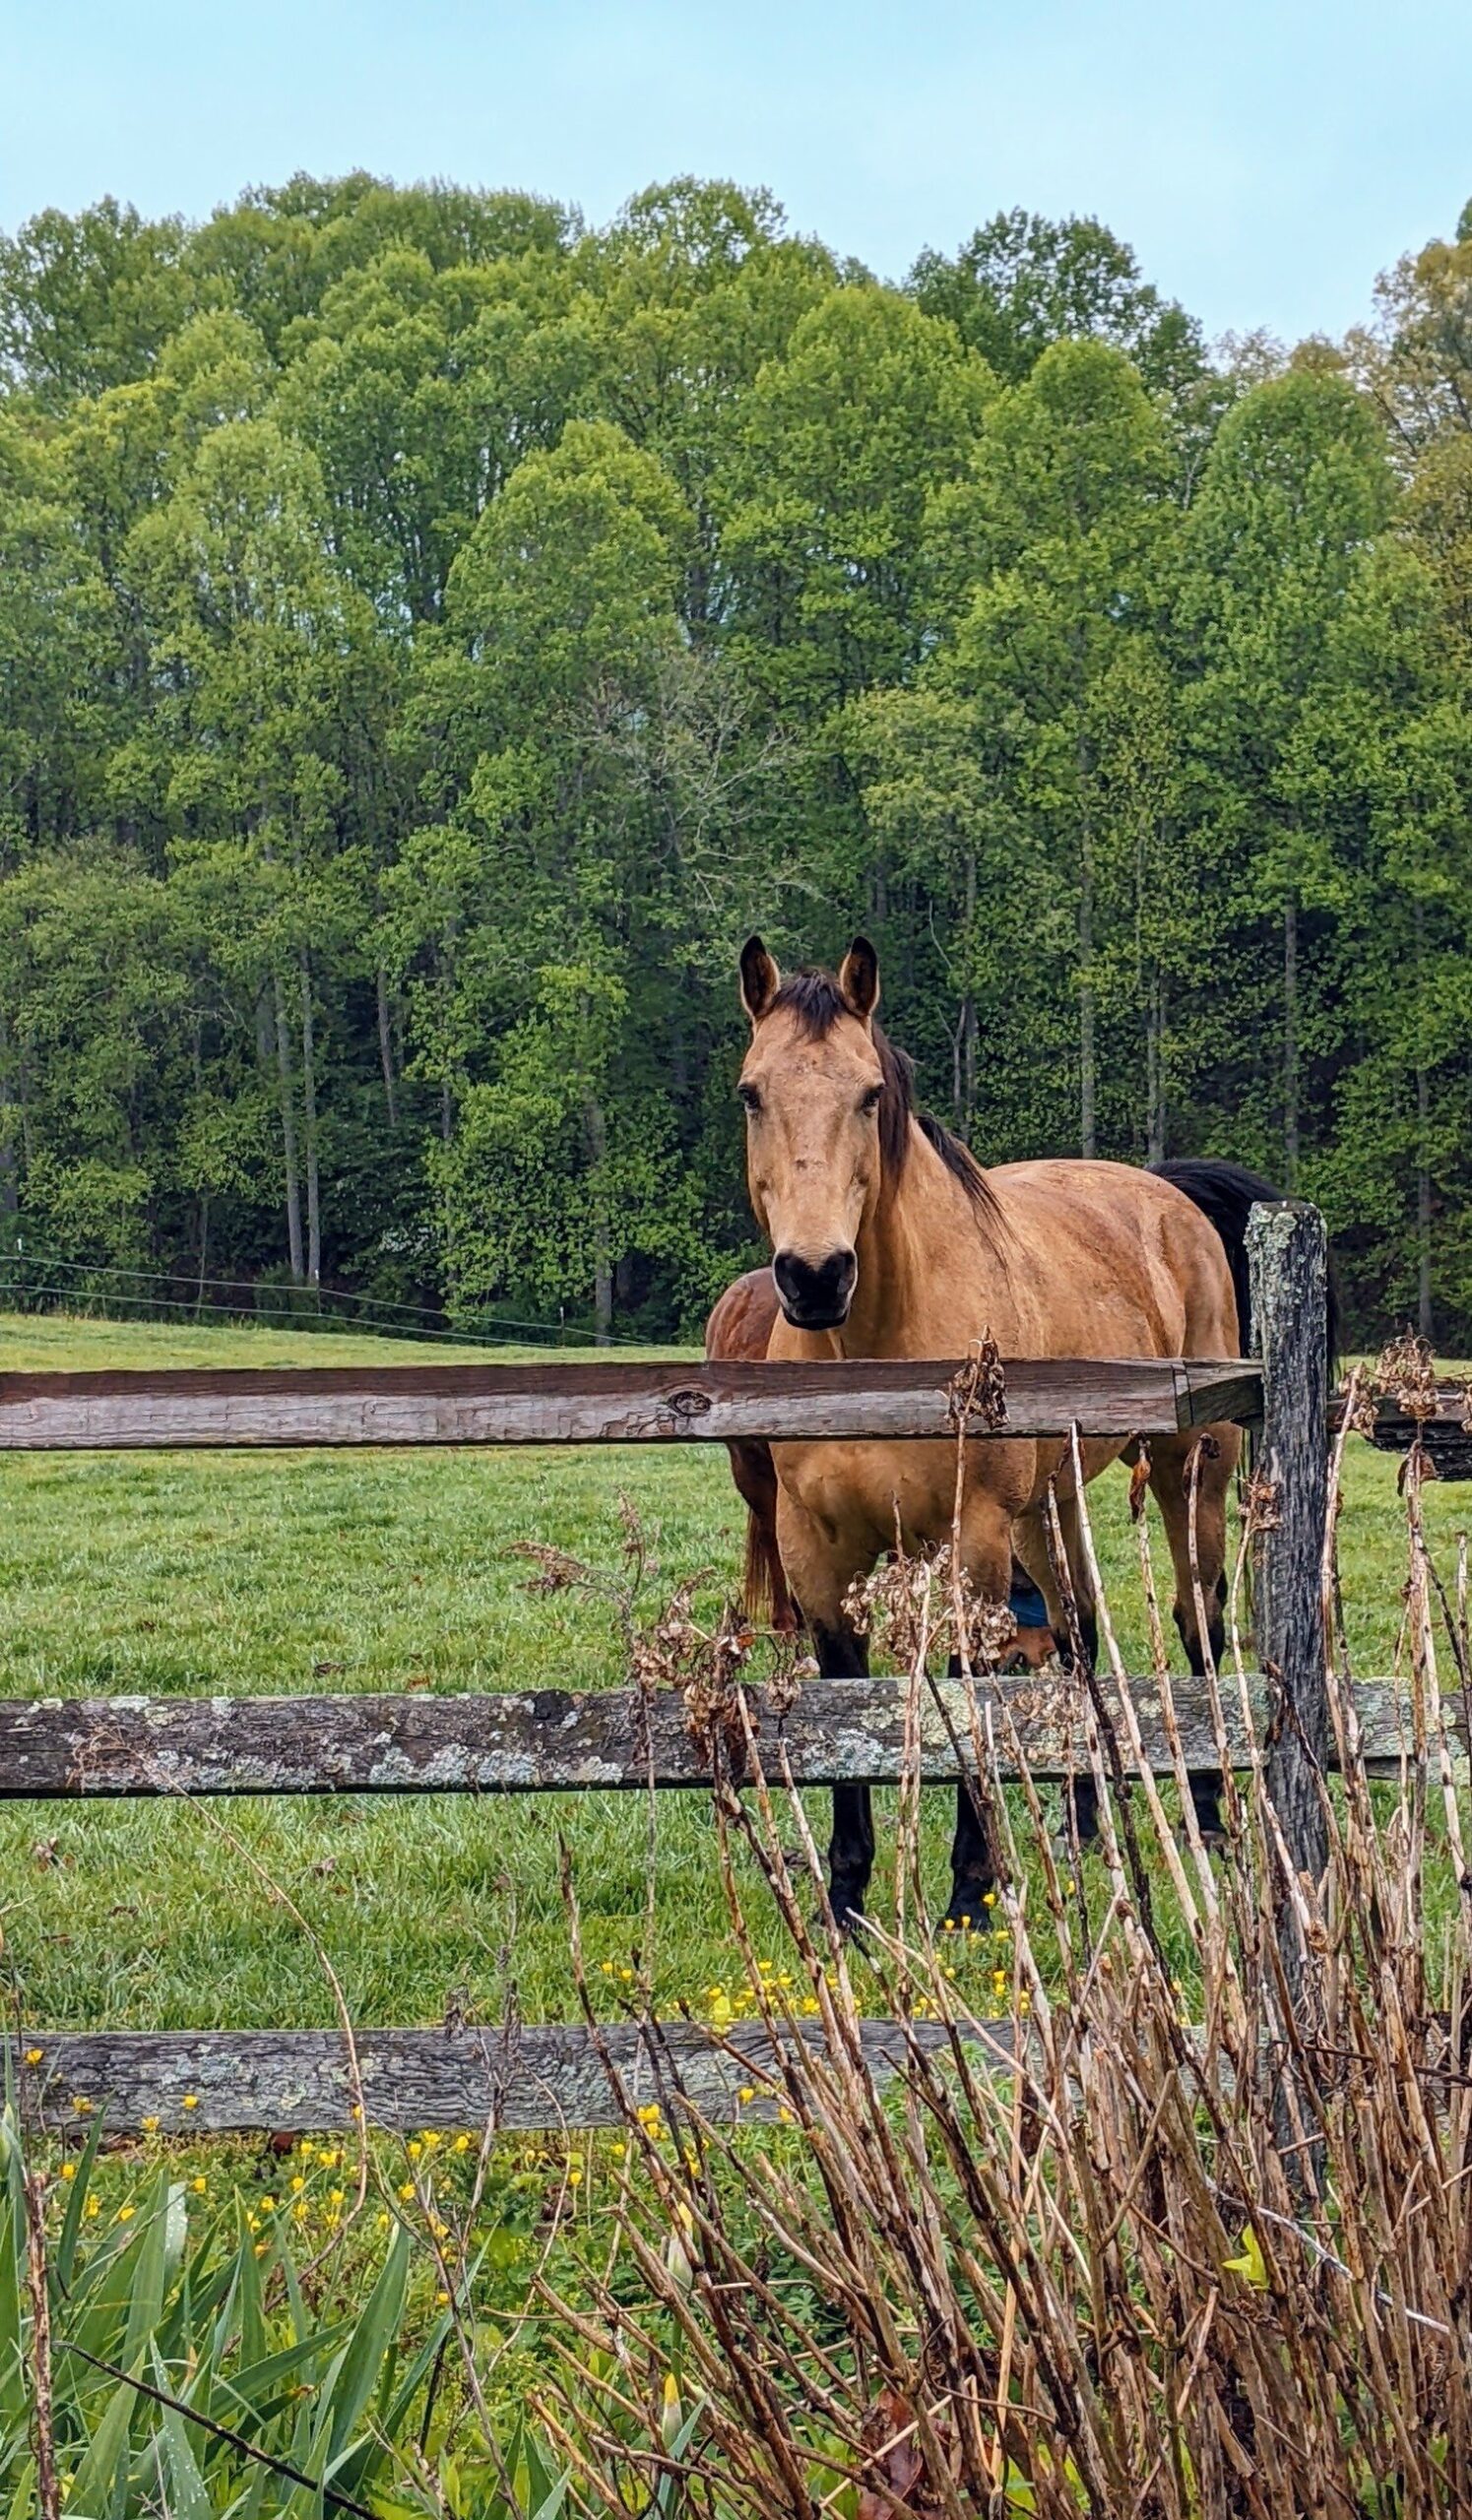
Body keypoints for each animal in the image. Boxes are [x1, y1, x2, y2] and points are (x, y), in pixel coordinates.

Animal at [731, 937, 1280, 1935]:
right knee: (1077, 1637)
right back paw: (1086, 1822)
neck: (877, 1353)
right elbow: (844, 1697)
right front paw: (845, 1897)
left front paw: (968, 1891)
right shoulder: (817, 1549)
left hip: (1190, 1474)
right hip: (1048, 1506)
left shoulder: (972, 1540)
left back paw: (1211, 1811)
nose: (815, 1276)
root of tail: (1167, 1195)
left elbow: (972, 1687)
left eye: (868, 1094)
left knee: (1199, 1623)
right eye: (752, 1092)